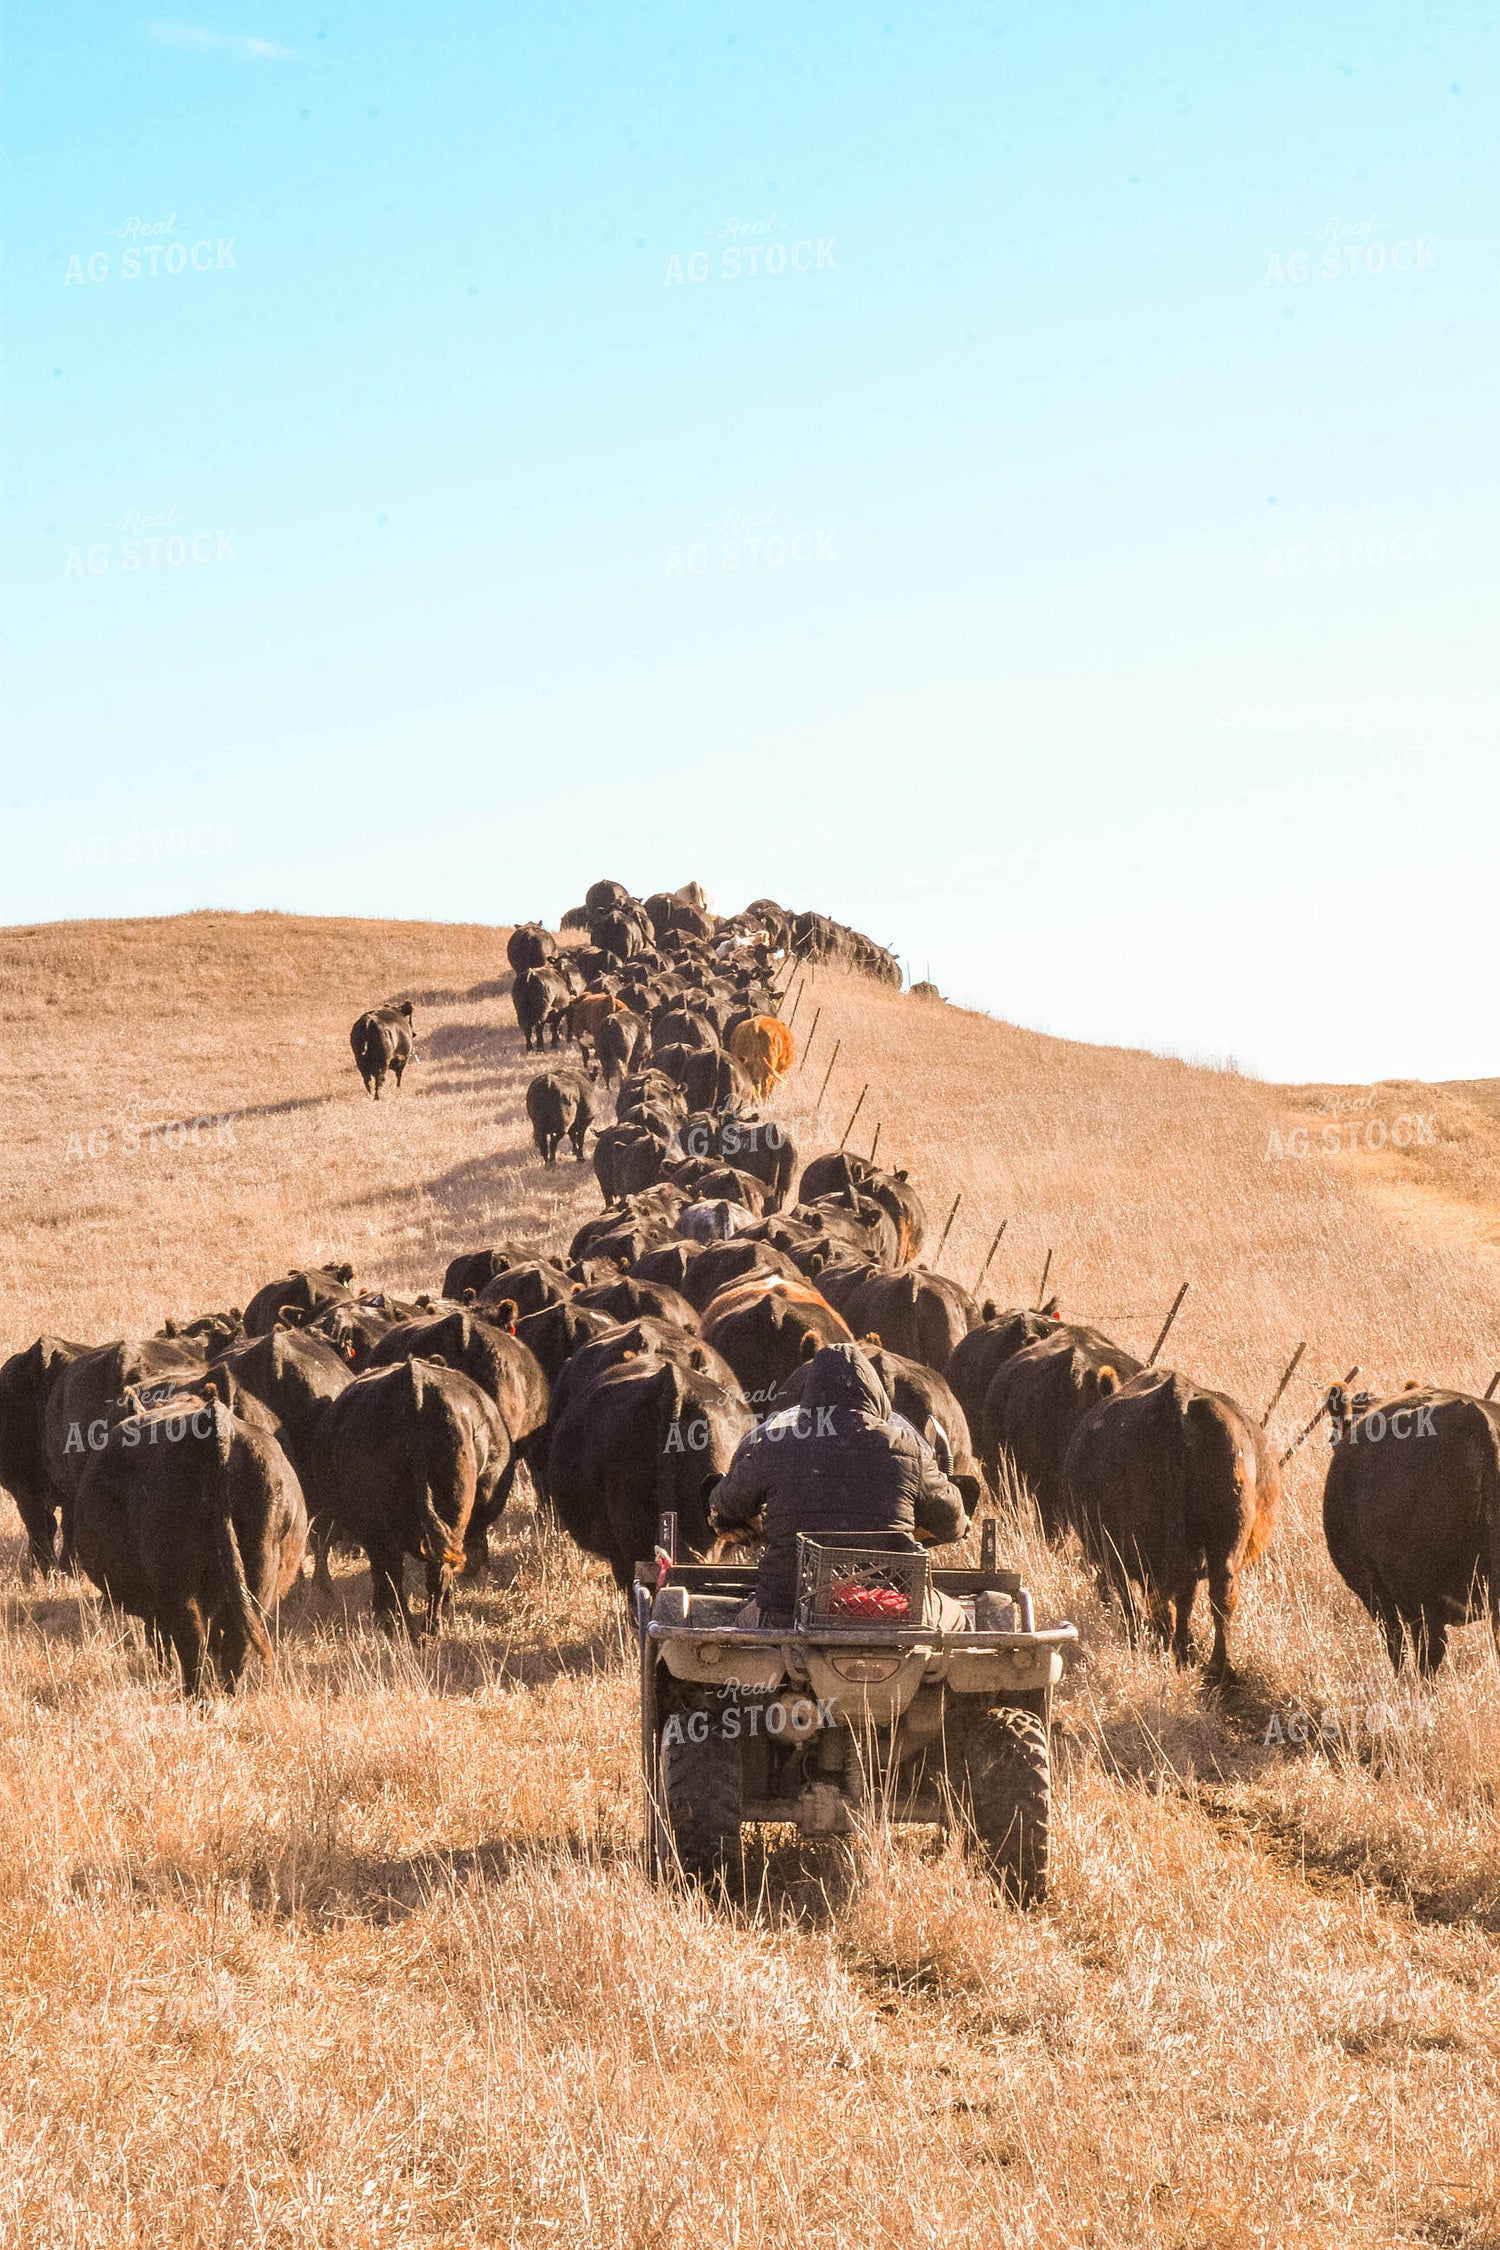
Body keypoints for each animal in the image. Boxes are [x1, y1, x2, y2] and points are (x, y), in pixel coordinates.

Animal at [73, 1381, 306, 1694]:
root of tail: (216, 1422)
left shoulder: (154, 1606)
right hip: (260, 1569)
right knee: (237, 1640)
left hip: (178, 1580)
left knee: (192, 1640)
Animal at [309, 1357, 509, 1634]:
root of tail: (415, 1389)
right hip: (449, 1516)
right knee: (434, 1572)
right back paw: (431, 1626)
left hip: (381, 1531)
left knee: (393, 1574)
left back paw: (398, 1622)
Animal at [1065, 1368, 1279, 1680]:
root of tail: (1176, 1398)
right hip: (1226, 1540)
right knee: (1220, 1594)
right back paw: (1217, 1666)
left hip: (1132, 1546)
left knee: (1153, 1597)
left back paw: (1164, 1644)